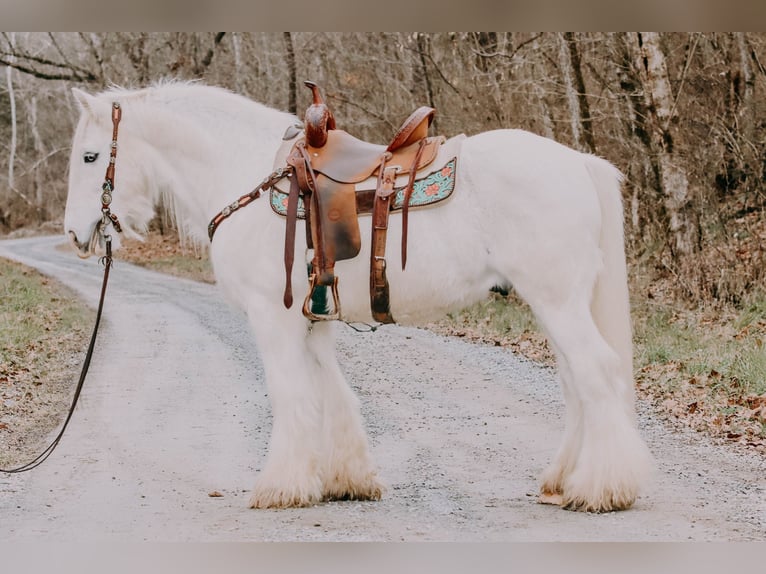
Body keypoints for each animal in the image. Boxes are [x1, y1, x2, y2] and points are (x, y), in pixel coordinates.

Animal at [64, 80, 656, 512]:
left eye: (91, 157)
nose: (74, 233)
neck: (245, 172)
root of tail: (578, 162)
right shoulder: (313, 320)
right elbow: (330, 394)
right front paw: (345, 479)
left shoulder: (272, 317)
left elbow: (292, 397)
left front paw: (281, 486)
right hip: (556, 306)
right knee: (577, 385)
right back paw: (563, 480)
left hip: (557, 303)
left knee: (597, 375)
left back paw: (601, 489)